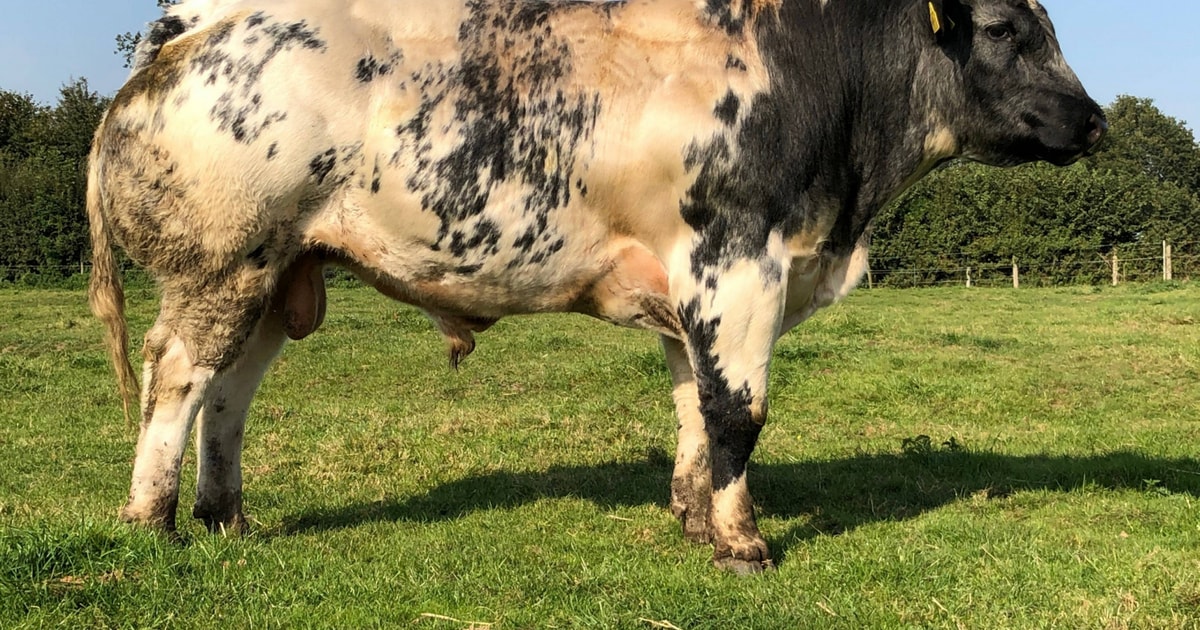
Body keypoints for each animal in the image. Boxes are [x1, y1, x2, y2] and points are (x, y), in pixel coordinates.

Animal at [88, 0, 1105, 574]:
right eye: (1007, 30)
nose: (1095, 120)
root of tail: (201, 21)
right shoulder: (739, 259)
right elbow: (739, 410)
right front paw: (743, 544)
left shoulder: (692, 288)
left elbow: (696, 405)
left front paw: (695, 522)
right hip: (224, 259)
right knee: (177, 376)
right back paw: (152, 523)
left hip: (279, 268)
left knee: (230, 393)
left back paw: (227, 518)